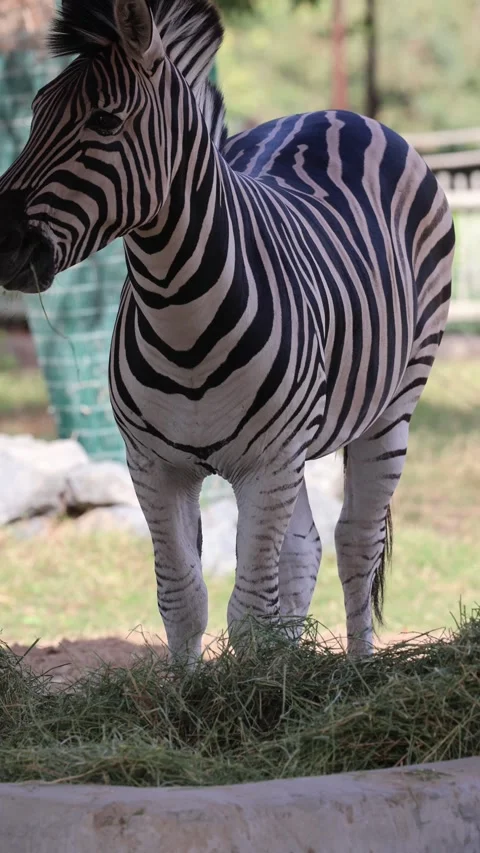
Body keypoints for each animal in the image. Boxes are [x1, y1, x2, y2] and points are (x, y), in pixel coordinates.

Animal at [0, 0, 455, 661]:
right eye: (33, 113)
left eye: (105, 122)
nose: (2, 244)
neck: (177, 309)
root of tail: (334, 112)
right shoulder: (156, 464)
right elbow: (183, 600)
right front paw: (206, 688)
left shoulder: (266, 462)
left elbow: (246, 613)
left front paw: (259, 689)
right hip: (294, 450)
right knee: (304, 548)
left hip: (394, 402)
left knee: (356, 543)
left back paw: (358, 668)